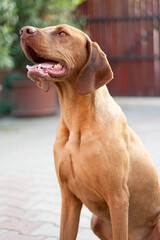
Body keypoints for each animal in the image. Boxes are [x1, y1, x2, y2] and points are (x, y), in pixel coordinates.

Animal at [20, 24, 160, 240]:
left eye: (62, 33)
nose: (24, 30)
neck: (77, 123)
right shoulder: (68, 197)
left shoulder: (118, 197)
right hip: (96, 221)